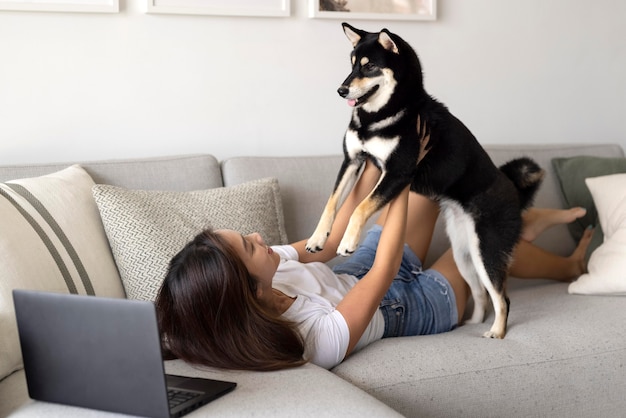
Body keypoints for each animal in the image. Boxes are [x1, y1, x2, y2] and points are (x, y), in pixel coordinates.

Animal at [304, 22, 544, 338]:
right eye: (352, 64)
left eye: (369, 67)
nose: (341, 89)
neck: (381, 115)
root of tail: (512, 190)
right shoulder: (353, 161)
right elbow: (332, 204)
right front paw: (318, 239)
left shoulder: (398, 172)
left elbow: (360, 207)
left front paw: (347, 242)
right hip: (465, 254)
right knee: (481, 293)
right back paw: (472, 323)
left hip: (488, 251)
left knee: (501, 298)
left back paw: (497, 331)